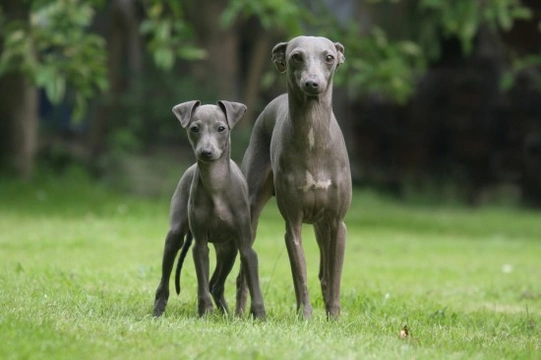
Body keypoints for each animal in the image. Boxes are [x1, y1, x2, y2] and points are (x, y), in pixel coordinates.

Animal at [152, 100, 266, 320]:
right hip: (175, 236)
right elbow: (201, 283)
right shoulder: (200, 244)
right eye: (194, 128)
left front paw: (260, 317)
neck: (216, 184)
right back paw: (157, 311)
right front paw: (205, 312)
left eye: (221, 128)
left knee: (216, 285)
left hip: (229, 249)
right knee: (166, 282)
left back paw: (228, 316)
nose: (206, 152)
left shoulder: (245, 246)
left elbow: (253, 284)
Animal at [236, 35, 350, 320]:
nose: (312, 84)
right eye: (296, 56)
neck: (313, 137)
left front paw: (334, 318)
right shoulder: (293, 225)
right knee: (242, 273)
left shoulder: (337, 223)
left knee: (324, 274)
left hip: (322, 227)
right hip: (251, 212)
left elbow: (334, 277)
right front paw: (305, 317)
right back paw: (242, 313)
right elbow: (300, 275)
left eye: (329, 57)